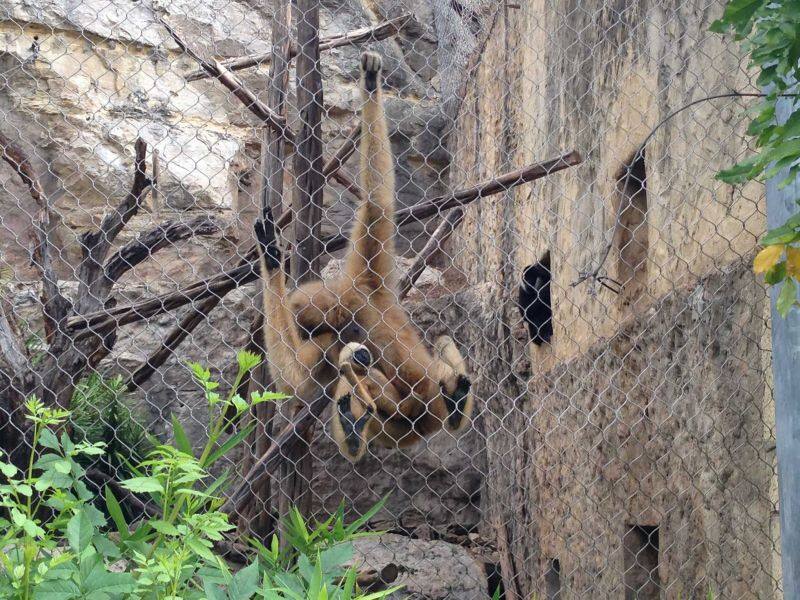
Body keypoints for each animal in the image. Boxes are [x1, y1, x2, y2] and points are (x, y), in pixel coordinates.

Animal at [253, 51, 473, 461]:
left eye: (305, 324)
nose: (305, 329)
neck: (350, 312)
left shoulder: (367, 282)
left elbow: (377, 204)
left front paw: (370, 84)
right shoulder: (340, 322)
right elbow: (299, 381)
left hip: (419, 407)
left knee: (371, 368)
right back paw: (358, 425)